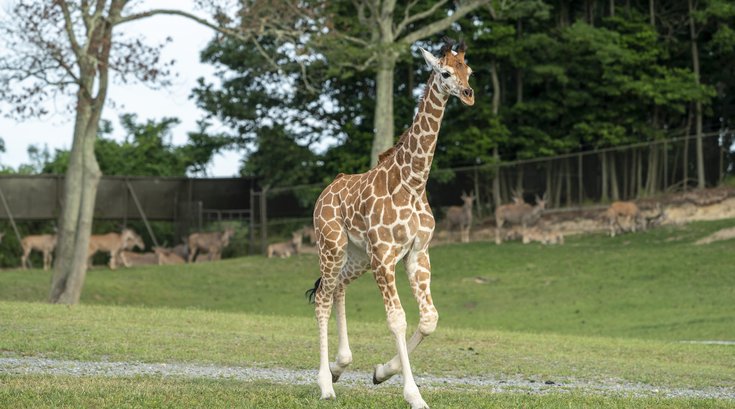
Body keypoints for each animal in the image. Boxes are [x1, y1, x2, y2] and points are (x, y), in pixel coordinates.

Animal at [309, 38, 475, 409]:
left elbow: (429, 319)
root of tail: (324, 193)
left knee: (337, 287)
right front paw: (414, 395)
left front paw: (383, 371)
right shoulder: (385, 257)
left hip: (357, 256)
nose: (469, 94)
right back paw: (325, 384)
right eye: (445, 72)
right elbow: (397, 320)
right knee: (323, 297)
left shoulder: (417, 254)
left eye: (468, 70)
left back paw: (340, 366)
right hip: (332, 246)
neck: (413, 182)